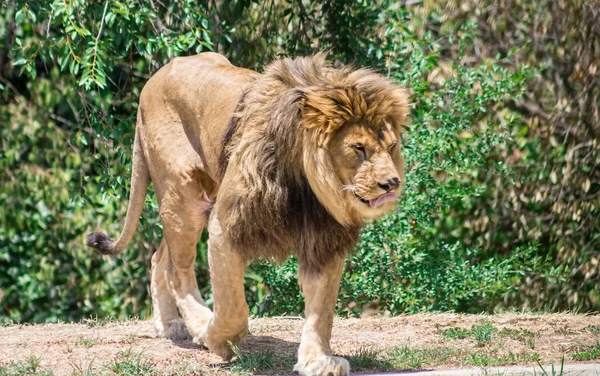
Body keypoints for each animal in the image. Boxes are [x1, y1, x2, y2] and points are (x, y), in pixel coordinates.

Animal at [86, 52, 410, 376]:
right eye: (359, 148)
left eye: (392, 145)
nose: (392, 183)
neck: (304, 185)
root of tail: (154, 78)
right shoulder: (225, 224)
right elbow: (233, 305)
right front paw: (218, 339)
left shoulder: (324, 241)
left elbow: (322, 310)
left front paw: (317, 360)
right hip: (183, 194)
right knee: (178, 270)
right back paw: (198, 325)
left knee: (159, 257)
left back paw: (169, 325)